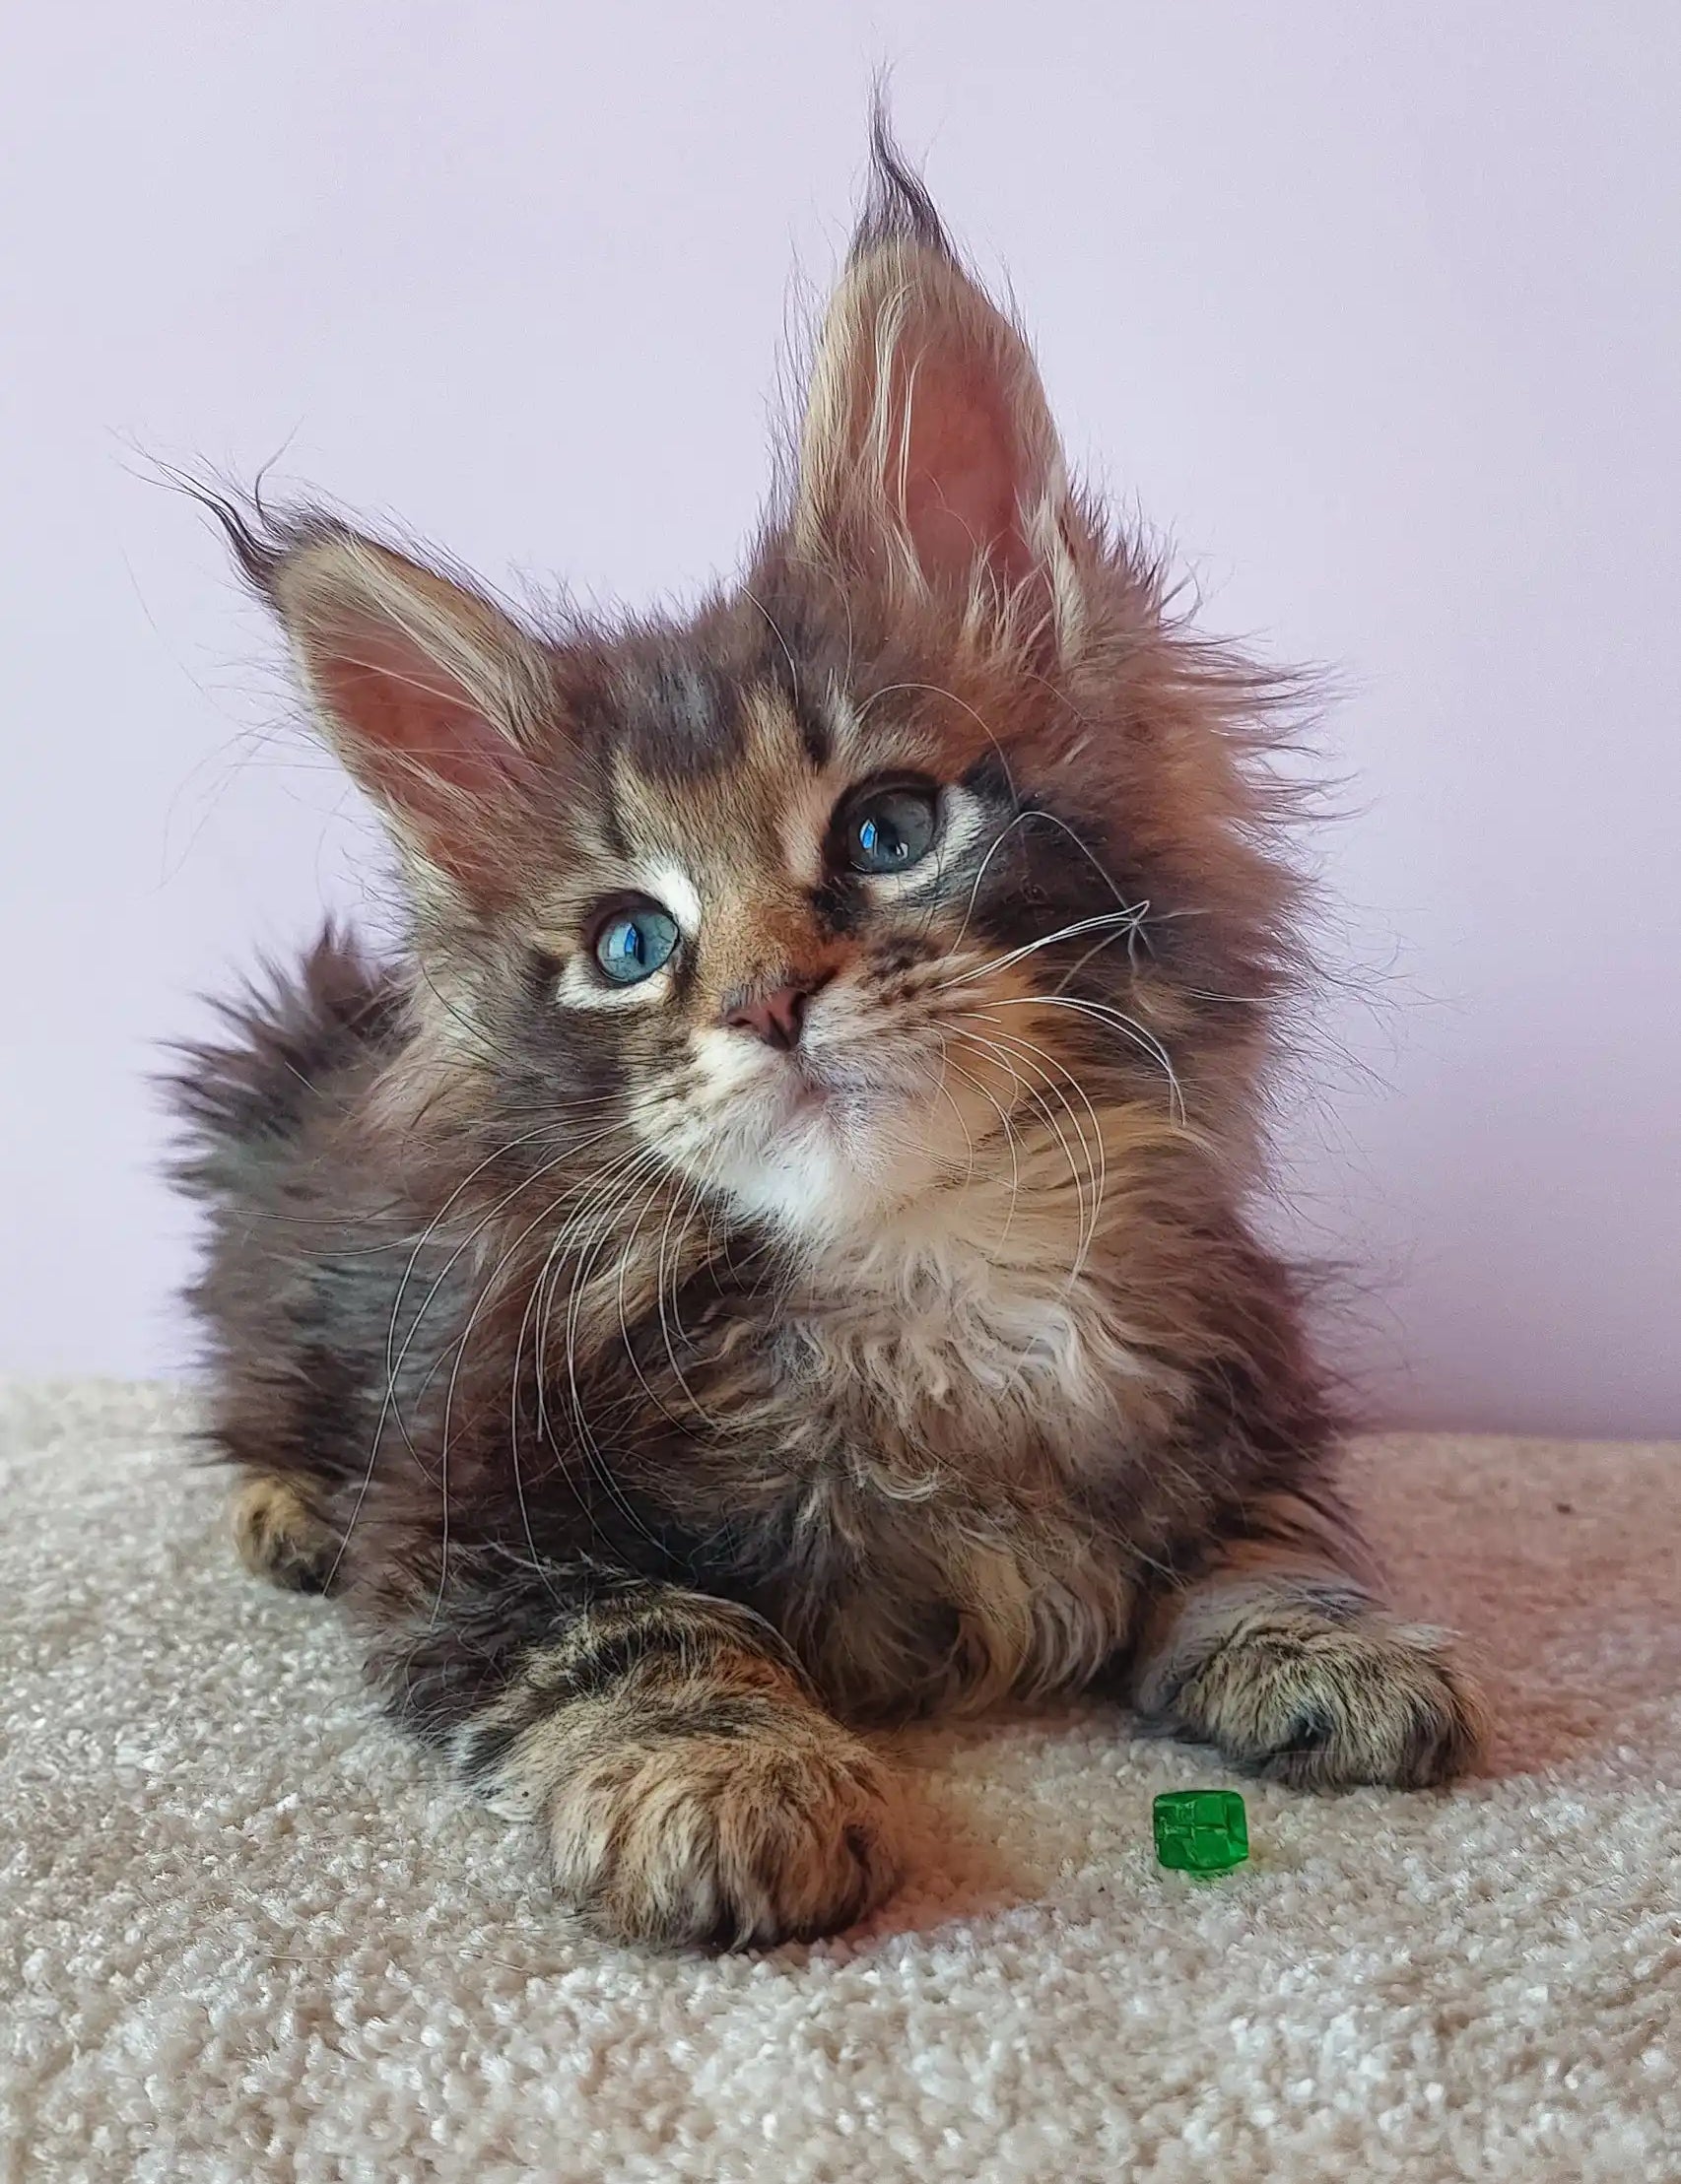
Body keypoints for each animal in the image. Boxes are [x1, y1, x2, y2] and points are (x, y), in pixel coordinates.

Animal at [169, 127, 1484, 1956]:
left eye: (886, 829)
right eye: (630, 945)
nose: (765, 999)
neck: (932, 1266)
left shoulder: (1237, 1372)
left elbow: (1261, 1532)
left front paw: (1327, 1645)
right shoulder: (472, 1505)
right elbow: (641, 1629)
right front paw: (723, 1780)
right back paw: (289, 1505)